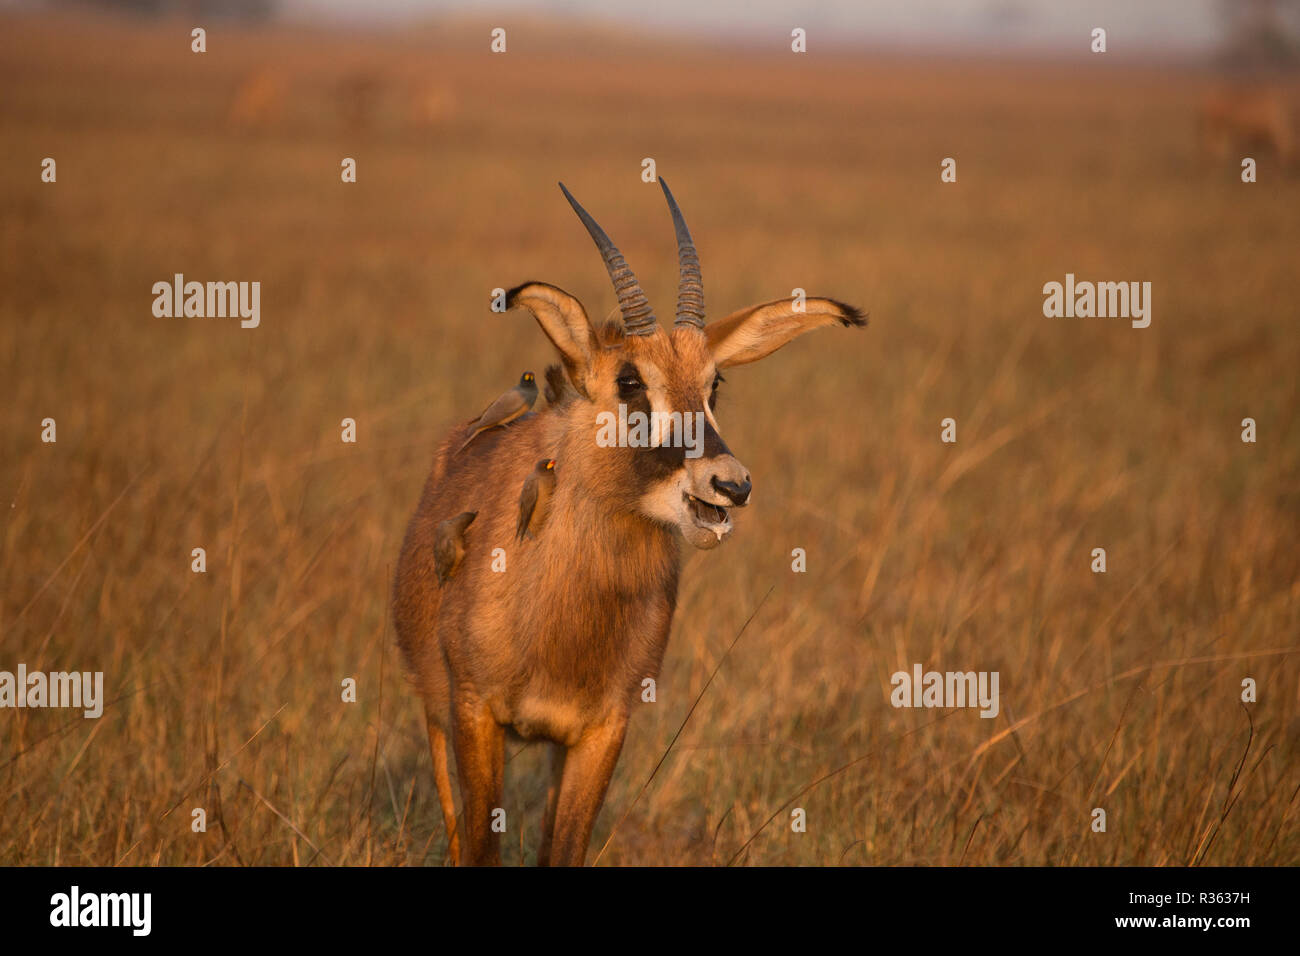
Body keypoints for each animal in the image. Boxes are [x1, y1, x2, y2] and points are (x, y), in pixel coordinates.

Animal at [392, 179, 865, 865]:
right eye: (630, 380)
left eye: (714, 383)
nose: (731, 486)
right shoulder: (475, 713)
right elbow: (480, 848)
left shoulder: (601, 731)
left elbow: (563, 852)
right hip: (437, 715)